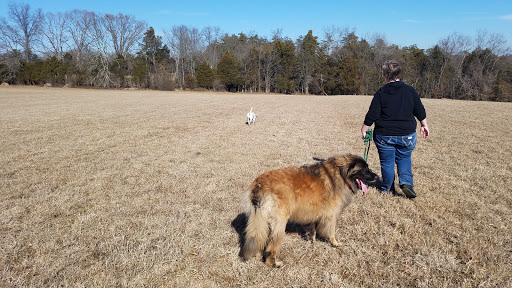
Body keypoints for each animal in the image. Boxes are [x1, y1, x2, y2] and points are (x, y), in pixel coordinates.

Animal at [240, 154, 380, 266]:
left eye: (368, 167)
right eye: (363, 169)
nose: (376, 177)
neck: (341, 174)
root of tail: (259, 185)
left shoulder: (313, 213)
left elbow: (312, 230)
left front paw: (312, 242)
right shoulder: (331, 215)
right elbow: (331, 232)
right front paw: (335, 244)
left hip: (261, 220)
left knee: (259, 237)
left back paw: (258, 254)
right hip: (279, 223)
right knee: (271, 246)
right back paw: (274, 263)